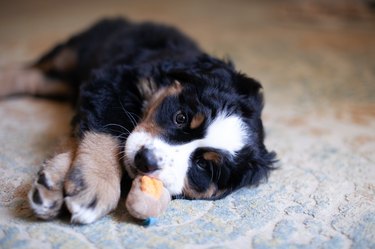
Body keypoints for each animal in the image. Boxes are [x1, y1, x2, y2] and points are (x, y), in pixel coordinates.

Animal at [0, 18, 278, 224]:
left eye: (203, 166)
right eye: (180, 117)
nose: (146, 160)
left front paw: (55, 178)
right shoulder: (112, 79)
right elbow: (109, 130)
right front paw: (96, 185)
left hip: (63, 81)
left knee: (35, 79)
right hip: (71, 53)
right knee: (27, 70)